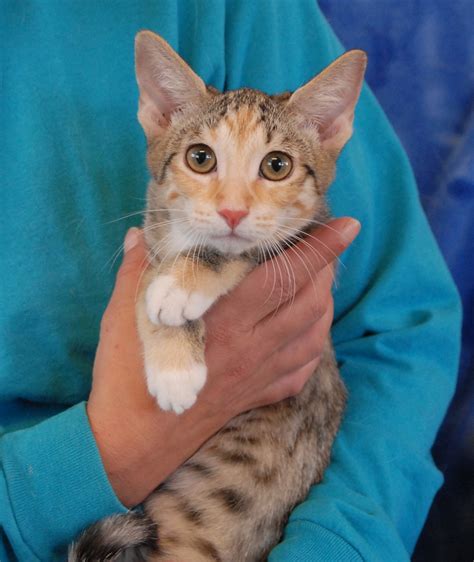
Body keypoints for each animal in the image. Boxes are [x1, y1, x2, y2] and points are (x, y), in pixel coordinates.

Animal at [69, 30, 366, 560]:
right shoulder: (147, 240)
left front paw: (181, 292)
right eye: (200, 158)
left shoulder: (300, 244)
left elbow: (236, 254)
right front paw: (174, 362)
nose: (232, 211)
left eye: (277, 165)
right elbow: (147, 281)